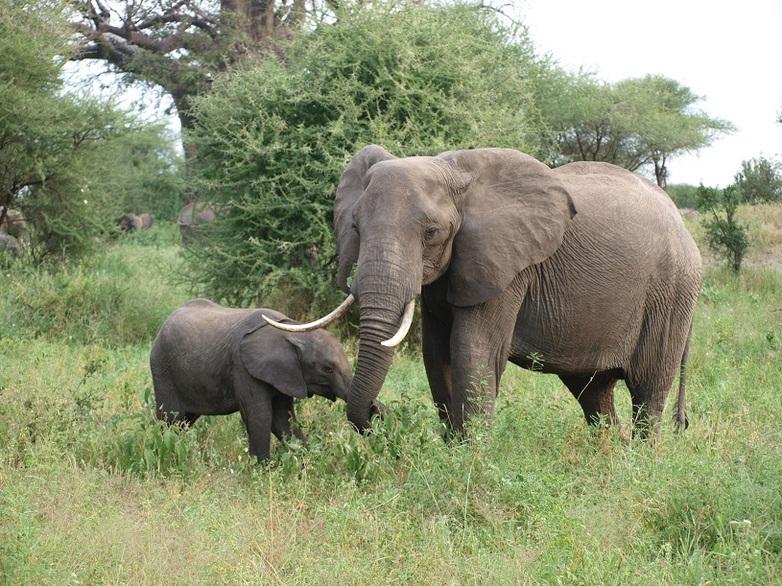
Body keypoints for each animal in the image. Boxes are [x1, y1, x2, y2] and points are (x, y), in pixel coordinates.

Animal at [150, 299, 353, 461]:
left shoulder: (286, 375)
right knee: (169, 419)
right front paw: (262, 470)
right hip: (162, 368)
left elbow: (283, 419)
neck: (292, 330)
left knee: (183, 423)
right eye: (327, 369)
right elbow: (260, 416)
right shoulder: (243, 368)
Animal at [264, 146, 702, 439]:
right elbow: (437, 355)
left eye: (432, 233)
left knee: (648, 391)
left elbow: (473, 351)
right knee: (593, 394)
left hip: (670, 294)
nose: (376, 414)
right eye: (354, 227)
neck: (451, 169)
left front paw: (472, 460)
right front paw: (455, 451)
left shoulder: (509, 268)